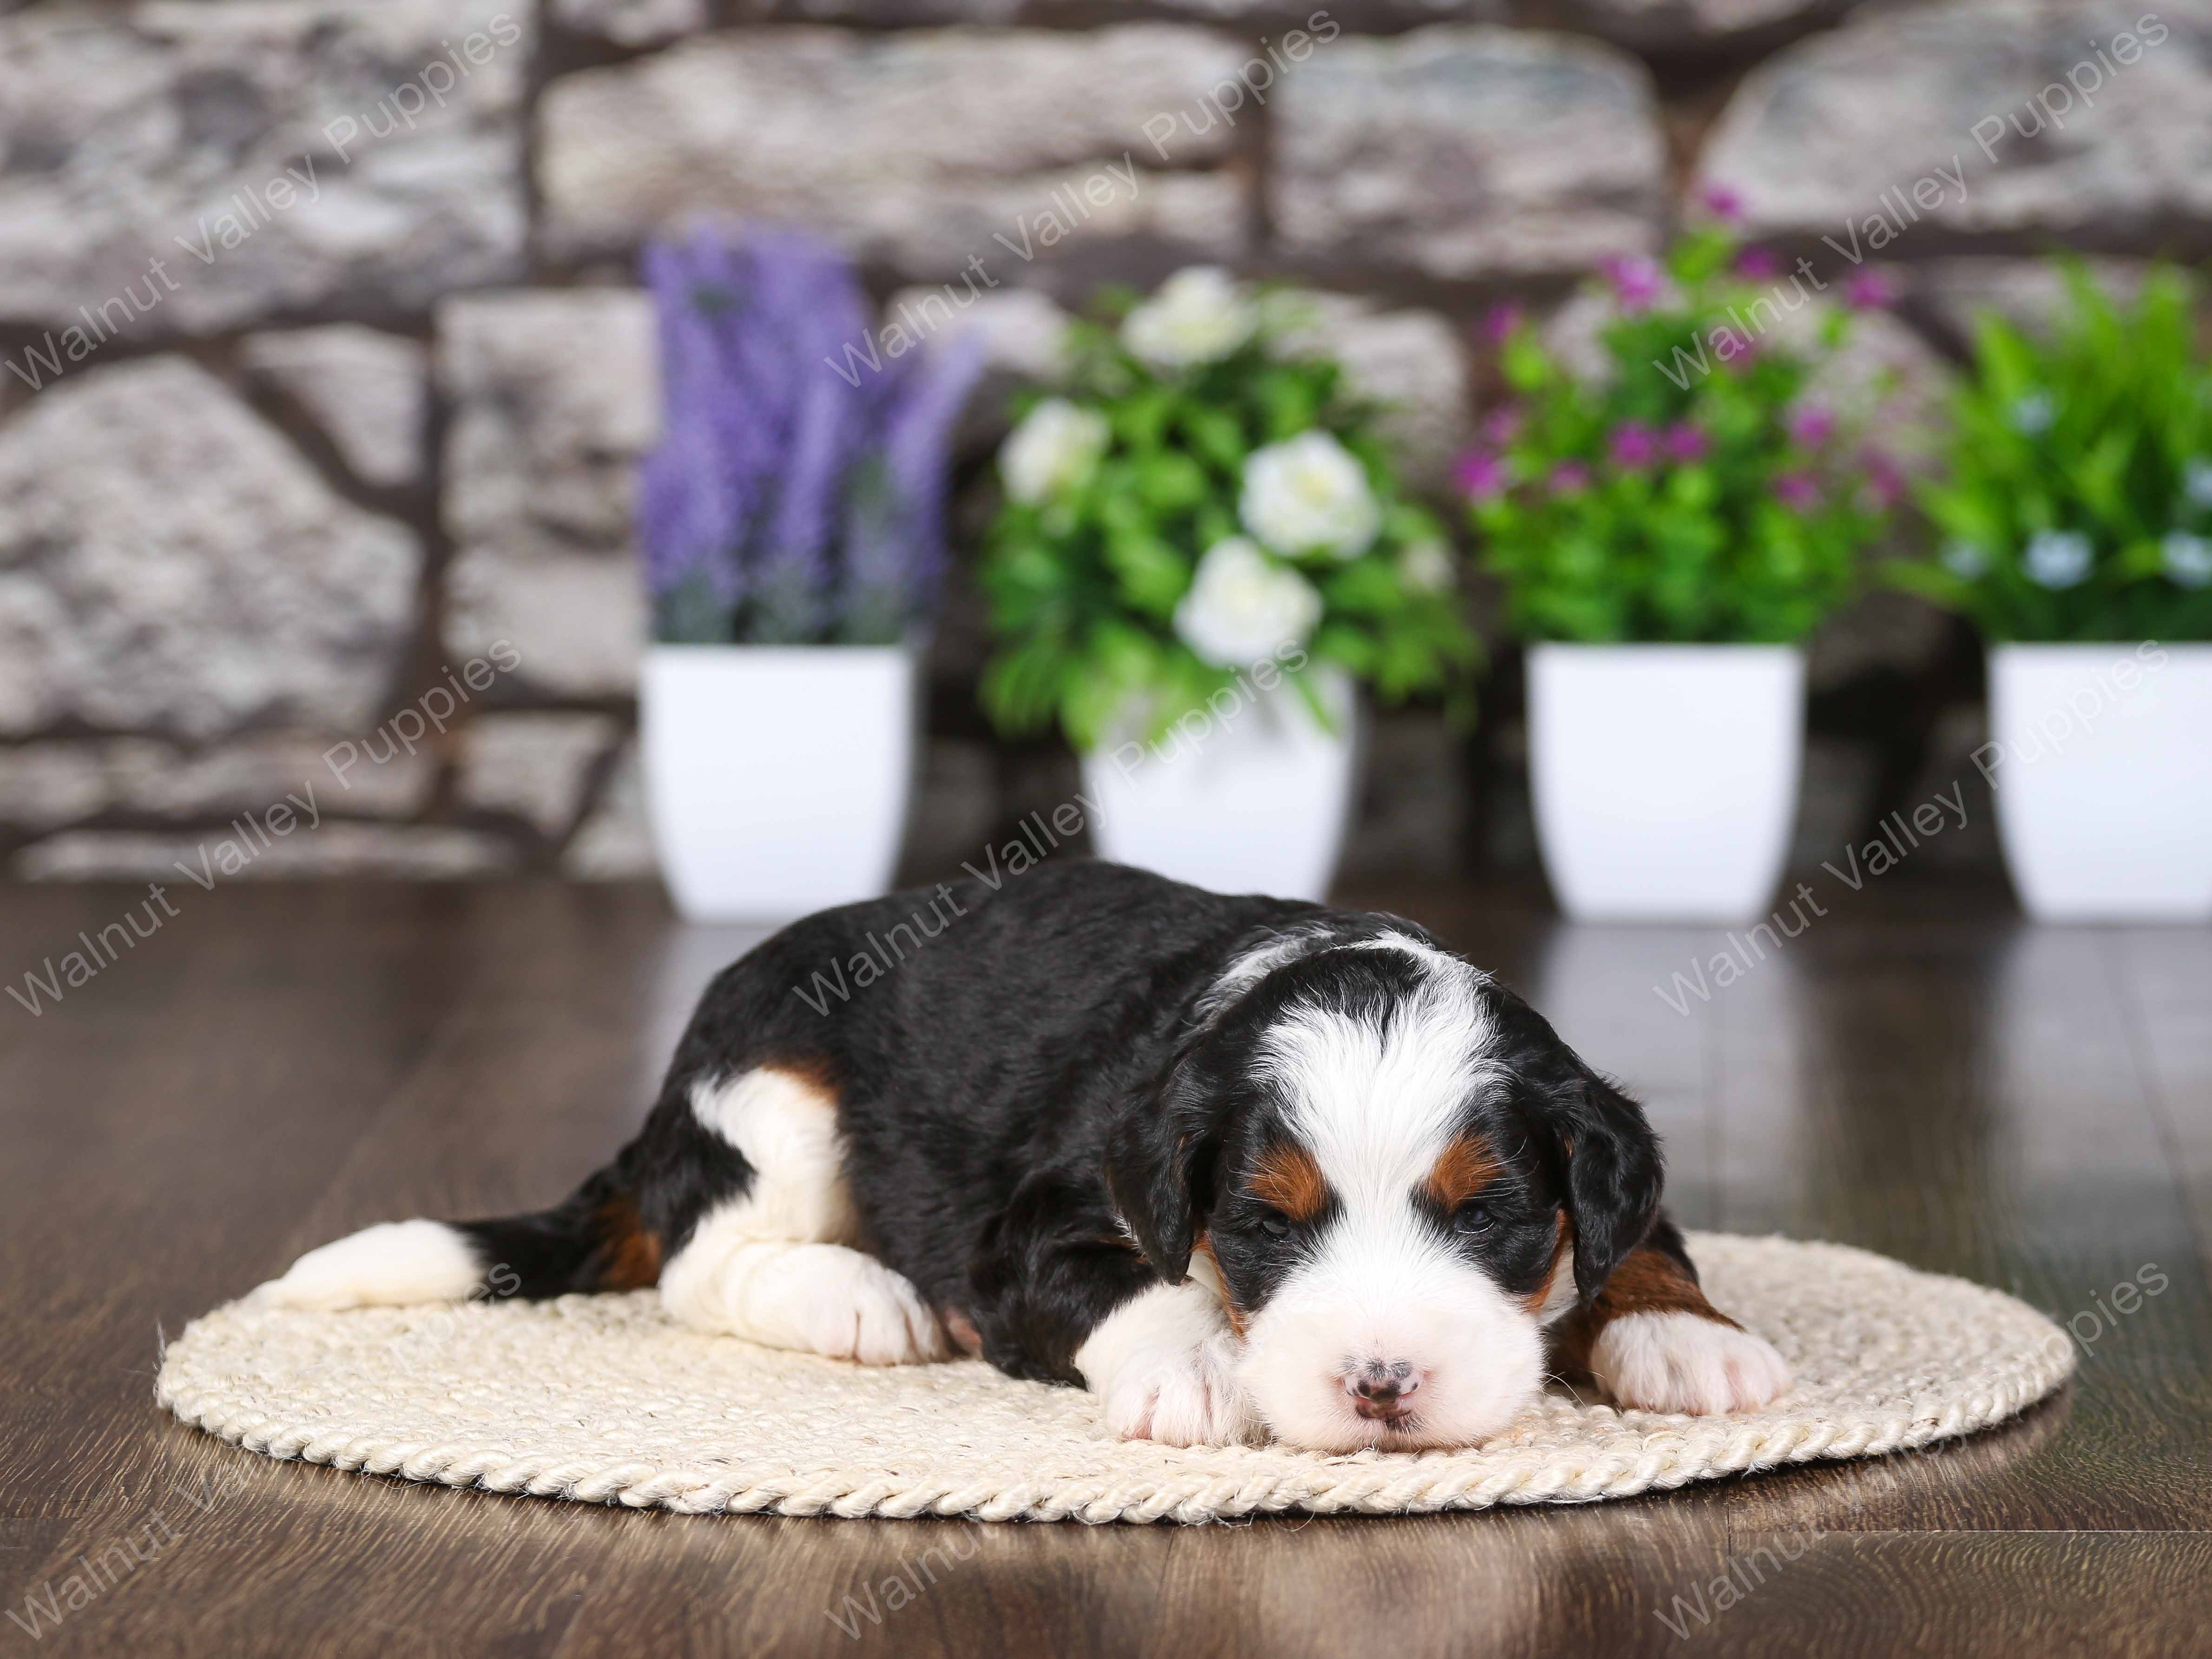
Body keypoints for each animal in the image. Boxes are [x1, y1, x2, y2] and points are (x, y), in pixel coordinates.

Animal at [260, 861, 1790, 1451]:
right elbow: (1135, 1290)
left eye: (1487, 1215)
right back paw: (859, 1299)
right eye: (1264, 1224)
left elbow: (1641, 1230)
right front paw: (1195, 1365)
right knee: (703, 1258)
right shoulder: (1030, 1228)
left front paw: (1685, 1335)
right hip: (779, 1093)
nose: (1380, 1383)